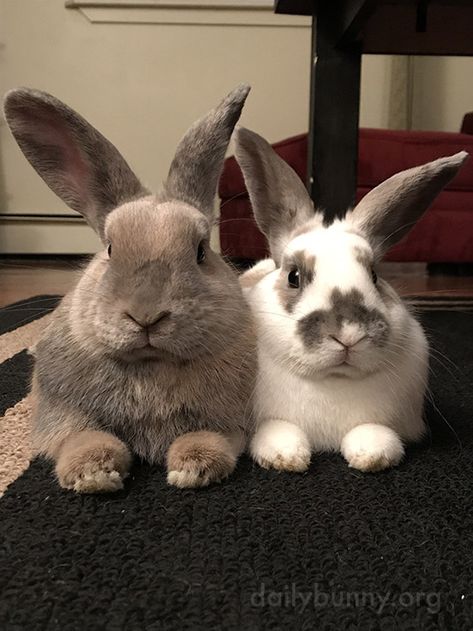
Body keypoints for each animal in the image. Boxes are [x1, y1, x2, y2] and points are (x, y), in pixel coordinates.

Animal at [2, 86, 254, 496]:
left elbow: (209, 437)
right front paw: (93, 475)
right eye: (109, 249)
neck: (150, 364)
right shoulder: (63, 413)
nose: (146, 316)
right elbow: (82, 437)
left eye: (201, 251)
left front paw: (193, 469)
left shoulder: (227, 418)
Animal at [234, 128, 466, 474]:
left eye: (374, 274)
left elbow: (373, 432)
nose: (348, 335)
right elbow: (276, 429)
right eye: (293, 276)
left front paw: (374, 455)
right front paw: (286, 457)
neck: (333, 381)